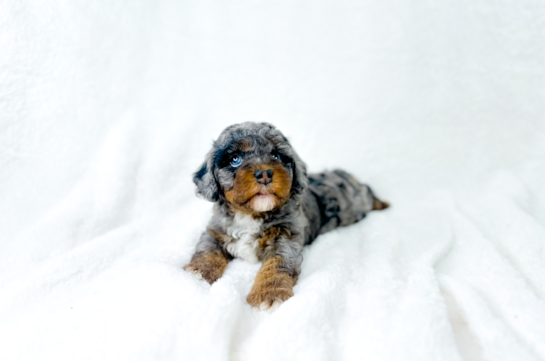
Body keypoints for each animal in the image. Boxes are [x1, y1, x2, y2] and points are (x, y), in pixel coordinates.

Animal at [184, 121, 386, 310]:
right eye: (235, 159)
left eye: (277, 156)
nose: (265, 174)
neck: (252, 214)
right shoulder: (215, 231)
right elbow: (207, 251)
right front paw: (197, 272)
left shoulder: (286, 238)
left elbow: (276, 265)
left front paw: (269, 293)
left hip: (359, 201)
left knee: (368, 192)